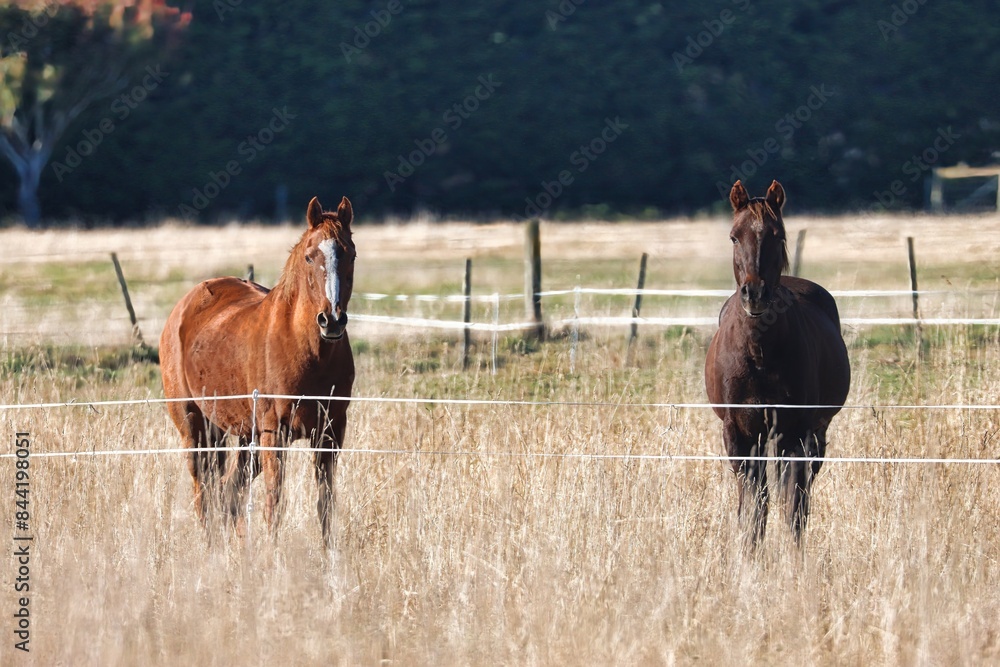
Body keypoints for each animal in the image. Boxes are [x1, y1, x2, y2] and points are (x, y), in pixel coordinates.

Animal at [159, 194, 356, 548]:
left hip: (241, 436)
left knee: (228, 492)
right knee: (204, 493)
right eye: (309, 256)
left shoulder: (330, 433)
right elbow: (274, 504)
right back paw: (211, 548)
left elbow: (325, 504)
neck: (307, 351)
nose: (331, 320)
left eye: (351, 254)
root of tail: (184, 306)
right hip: (195, 427)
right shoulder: (274, 434)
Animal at [704, 181, 852, 548]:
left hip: (814, 435)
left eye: (778, 235)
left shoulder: (796, 434)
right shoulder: (739, 435)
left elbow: (793, 509)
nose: (755, 293)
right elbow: (753, 509)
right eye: (734, 237)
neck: (759, 353)